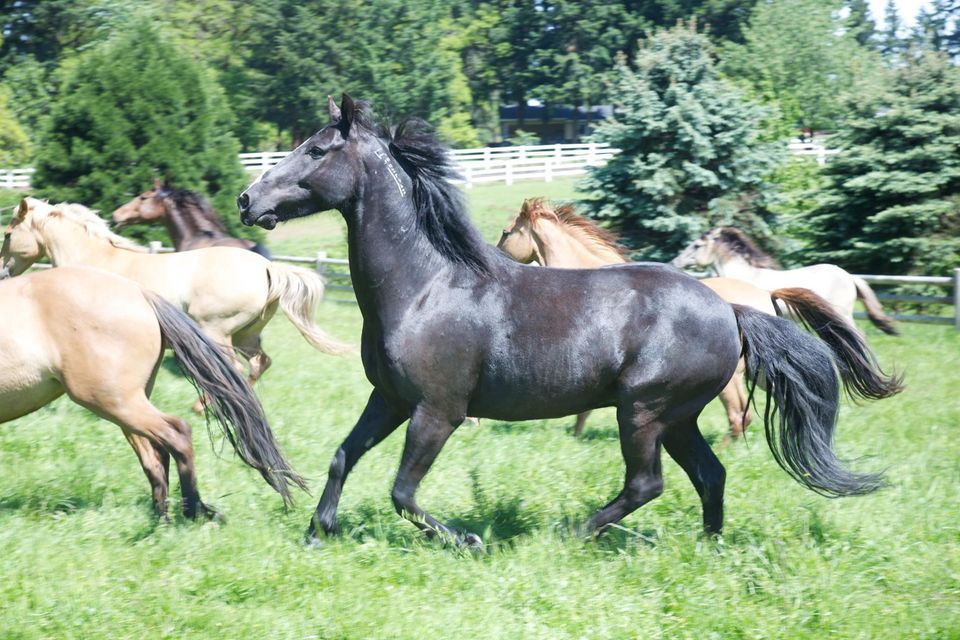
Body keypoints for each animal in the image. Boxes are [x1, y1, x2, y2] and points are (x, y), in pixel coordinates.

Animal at [0, 197, 352, 412]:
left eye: (7, 234)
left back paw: (203, 406)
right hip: (245, 336)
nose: (2, 271)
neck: (94, 260)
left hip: (216, 332)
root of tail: (268, 268)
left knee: (234, 370)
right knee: (259, 364)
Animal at [0, 266, 306, 519]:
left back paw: (193, 512)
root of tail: (142, 293)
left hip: (113, 401)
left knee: (176, 434)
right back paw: (163, 517)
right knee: (156, 453)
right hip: (127, 402)